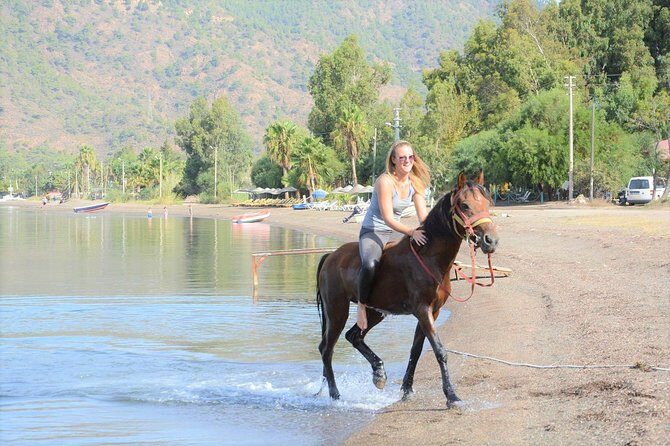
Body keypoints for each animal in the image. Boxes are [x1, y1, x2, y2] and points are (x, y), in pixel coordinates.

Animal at [316, 171, 499, 406]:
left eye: (487, 202)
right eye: (465, 205)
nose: (490, 240)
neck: (428, 256)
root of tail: (331, 256)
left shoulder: (432, 311)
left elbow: (417, 349)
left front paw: (407, 389)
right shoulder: (422, 310)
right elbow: (440, 351)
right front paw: (451, 395)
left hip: (375, 312)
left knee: (354, 336)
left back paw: (379, 373)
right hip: (337, 311)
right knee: (327, 349)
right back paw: (335, 394)